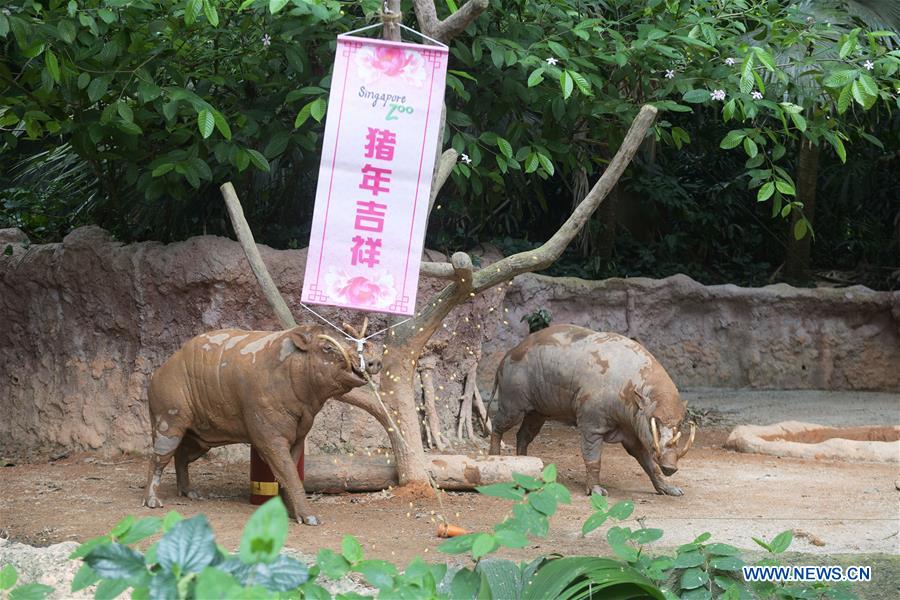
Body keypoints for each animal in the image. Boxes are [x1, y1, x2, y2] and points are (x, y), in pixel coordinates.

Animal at [141, 324, 381, 525]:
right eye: (328, 347)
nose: (374, 362)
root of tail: (158, 373)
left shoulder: (298, 436)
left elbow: (290, 473)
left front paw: (290, 513)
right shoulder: (268, 437)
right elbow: (289, 474)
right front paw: (310, 517)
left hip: (202, 436)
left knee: (182, 456)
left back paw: (189, 492)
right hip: (168, 418)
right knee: (158, 458)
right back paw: (152, 501)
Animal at [488, 324, 694, 497]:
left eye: (680, 425)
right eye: (655, 423)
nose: (671, 467)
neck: (632, 393)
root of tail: (507, 355)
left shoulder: (633, 431)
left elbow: (649, 463)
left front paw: (670, 490)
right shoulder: (592, 424)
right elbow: (594, 458)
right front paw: (596, 491)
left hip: (538, 412)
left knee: (523, 434)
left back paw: (525, 466)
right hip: (513, 404)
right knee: (498, 425)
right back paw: (495, 457)